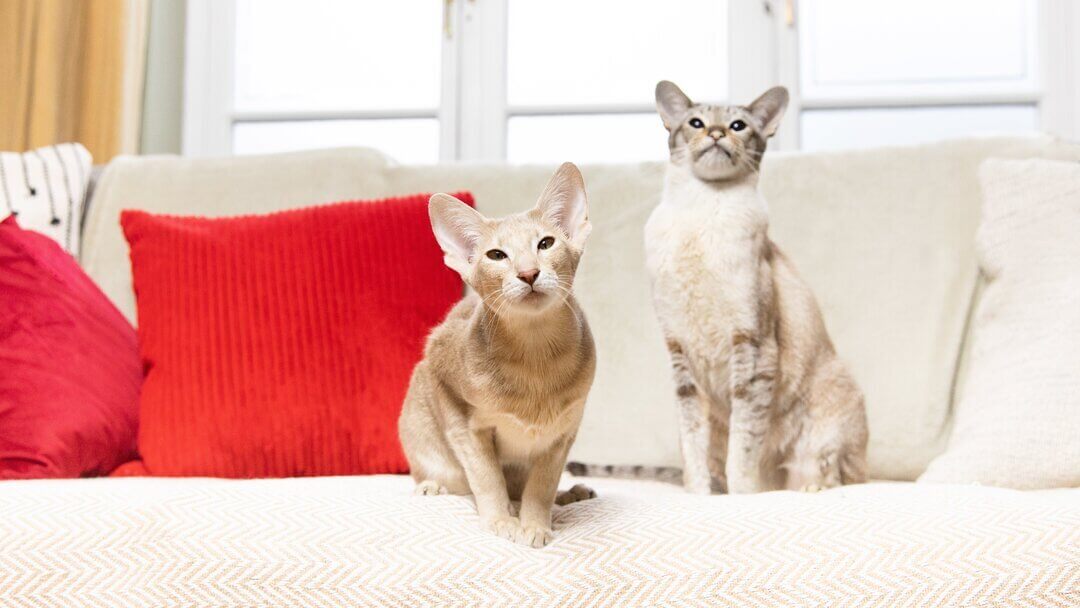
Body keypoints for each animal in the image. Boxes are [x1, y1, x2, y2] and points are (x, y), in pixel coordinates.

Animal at [399, 164, 600, 548]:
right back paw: (431, 486)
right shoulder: (451, 397)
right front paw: (501, 519)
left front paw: (534, 524)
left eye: (545, 243)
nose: (528, 273)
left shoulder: (565, 430)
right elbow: (486, 476)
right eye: (496, 255)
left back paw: (570, 494)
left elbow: (542, 486)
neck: (535, 356)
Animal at [639, 82, 868, 494]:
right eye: (695, 123)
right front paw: (698, 495)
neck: (701, 212)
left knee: (841, 476)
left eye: (738, 125)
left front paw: (742, 496)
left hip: (831, 414)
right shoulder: (680, 354)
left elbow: (744, 445)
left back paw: (808, 489)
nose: (716, 134)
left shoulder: (752, 344)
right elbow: (693, 447)